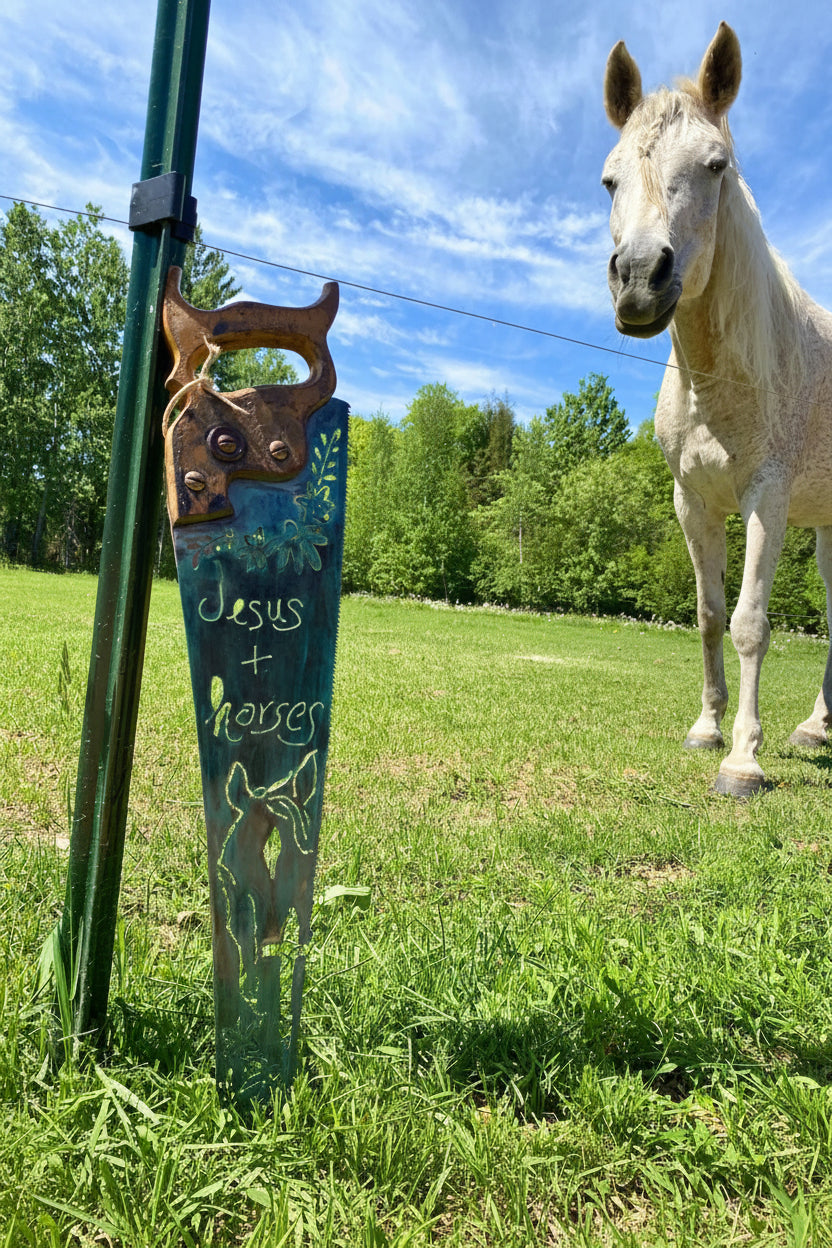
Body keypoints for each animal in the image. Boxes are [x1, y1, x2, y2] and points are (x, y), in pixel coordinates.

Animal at [601, 22, 832, 797]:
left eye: (716, 164)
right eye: (610, 178)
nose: (640, 278)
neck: (718, 379)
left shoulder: (767, 498)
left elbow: (750, 623)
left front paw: (743, 761)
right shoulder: (693, 502)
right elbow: (707, 615)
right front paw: (706, 729)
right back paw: (816, 728)